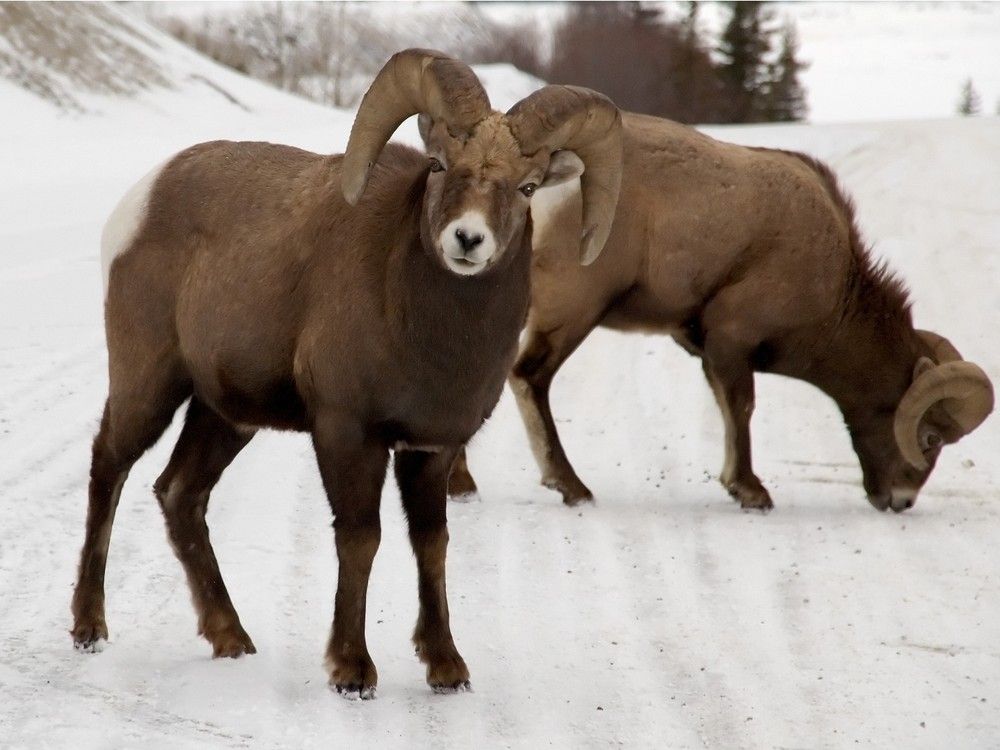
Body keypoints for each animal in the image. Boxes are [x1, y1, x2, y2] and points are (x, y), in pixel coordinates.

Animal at [70, 51, 620, 700]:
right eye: (440, 165)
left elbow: (432, 545)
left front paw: (446, 667)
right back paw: (89, 628)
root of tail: (141, 200)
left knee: (180, 495)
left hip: (225, 417)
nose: (467, 239)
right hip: (149, 384)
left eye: (527, 187)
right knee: (109, 468)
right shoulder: (348, 434)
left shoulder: (431, 448)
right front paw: (352, 670)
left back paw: (232, 639)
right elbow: (361, 538)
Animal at [452, 113, 992, 516]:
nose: (900, 501)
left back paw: (462, 485)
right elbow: (742, 409)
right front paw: (750, 492)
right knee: (530, 378)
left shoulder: (708, 349)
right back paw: (571, 488)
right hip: (573, 310)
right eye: (930, 437)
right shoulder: (734, 341)